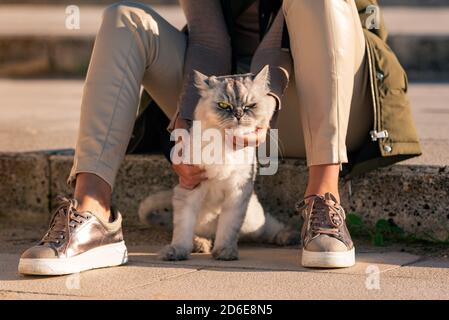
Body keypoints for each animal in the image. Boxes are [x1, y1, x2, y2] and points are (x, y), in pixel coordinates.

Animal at [138, 65, 300, 260]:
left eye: (250, 106)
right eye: (224, 106)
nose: (238, 114)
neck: (225, 145)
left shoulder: (237, 193)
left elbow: (228, 228)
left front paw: (225, 252)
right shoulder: (191, 189)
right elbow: (182, 231)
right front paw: (176, 252)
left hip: (252, 220)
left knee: (269, 228)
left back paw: (288, 237)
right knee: (196, 233)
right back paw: (200, 244)